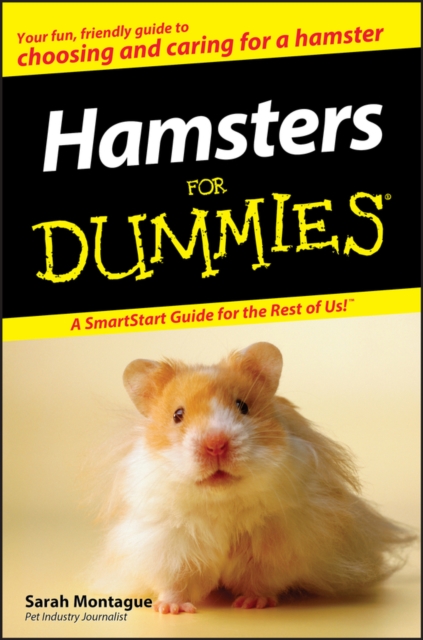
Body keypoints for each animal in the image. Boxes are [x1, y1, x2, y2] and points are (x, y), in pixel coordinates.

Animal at [91, 342, 416, 614]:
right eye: (177, 415)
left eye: (243, 406)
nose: (216, 444)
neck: (221, 500)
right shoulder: (166, 541)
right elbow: (173, 580)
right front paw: (170, 609)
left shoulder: (279, 543)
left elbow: (261, 579)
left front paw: (252, 603)